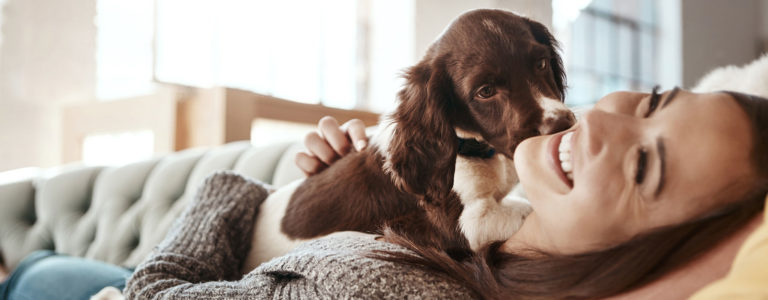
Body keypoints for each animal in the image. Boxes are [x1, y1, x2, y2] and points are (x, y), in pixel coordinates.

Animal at [243, 9, 572, 272]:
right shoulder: (462, 225)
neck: (474, 148)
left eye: (541, 64)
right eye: (485, 91)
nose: (562, 125)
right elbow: (527, 209)